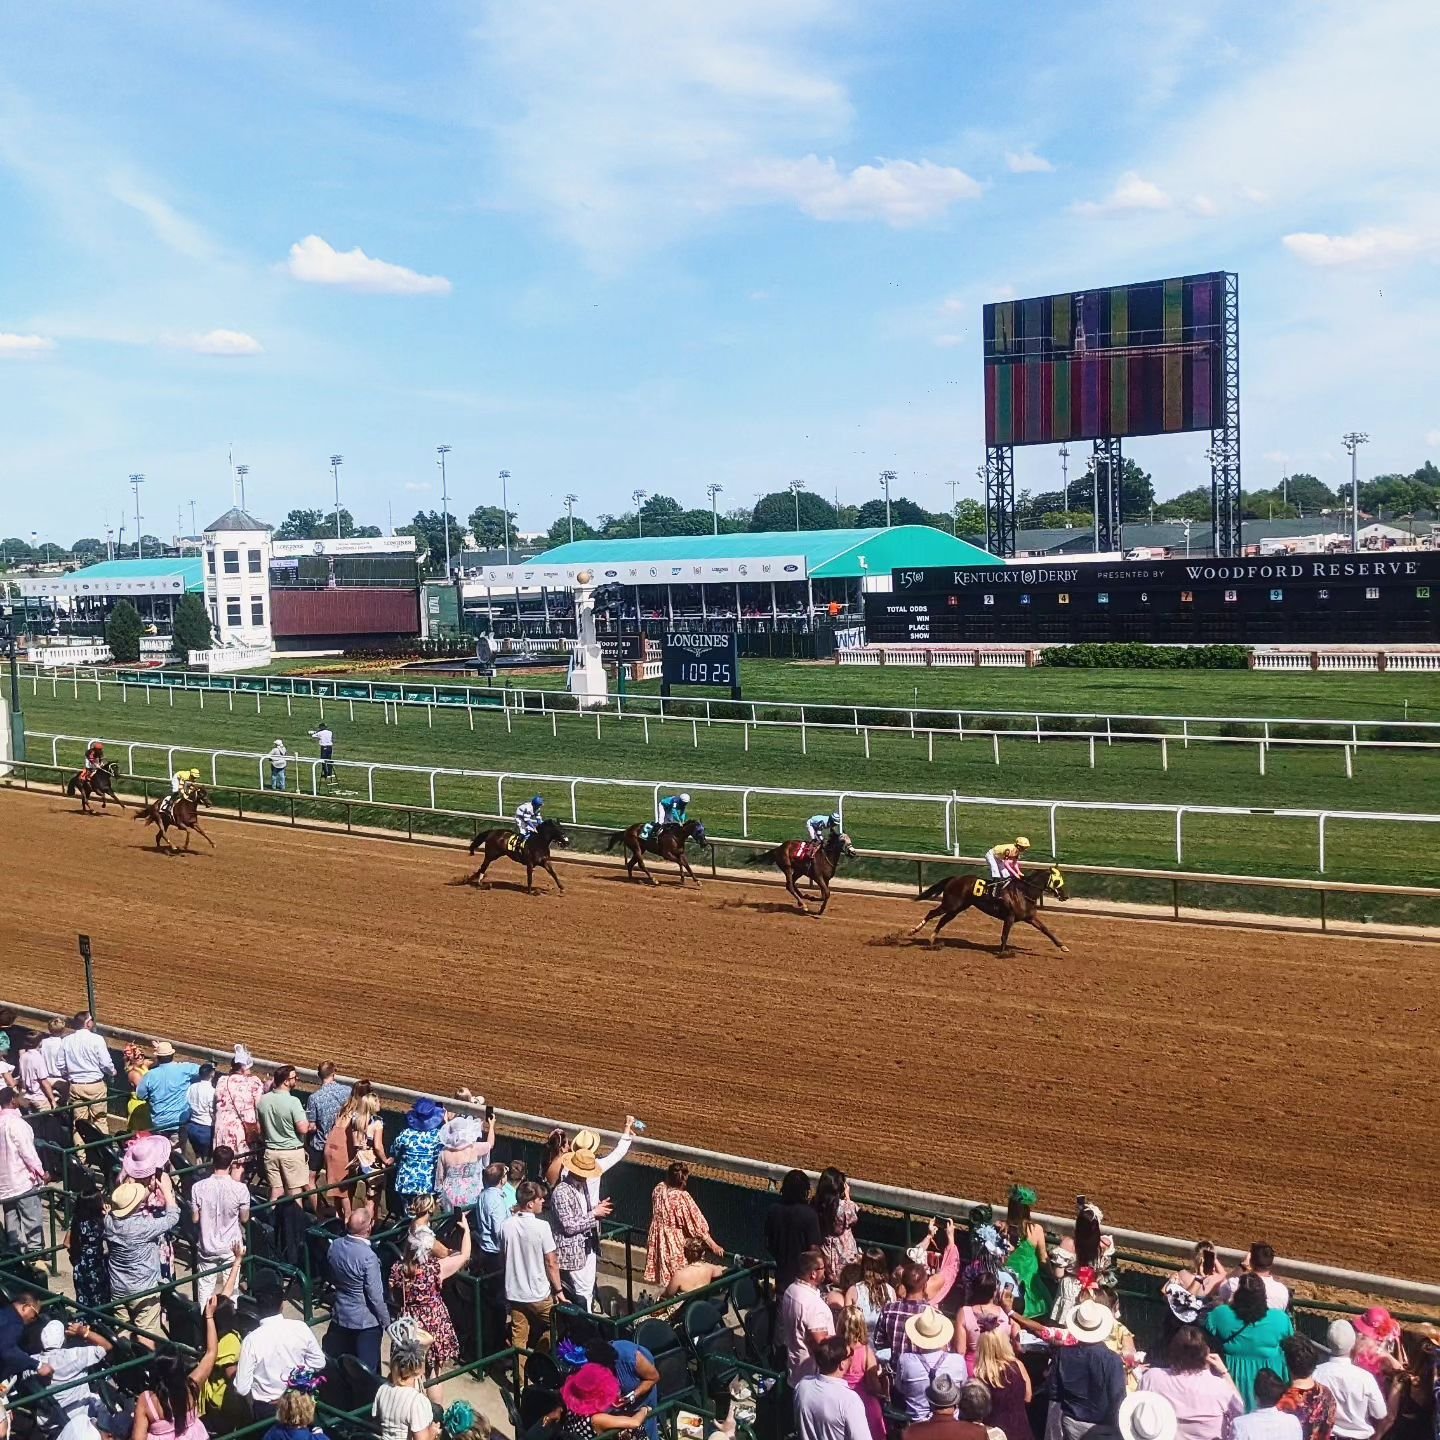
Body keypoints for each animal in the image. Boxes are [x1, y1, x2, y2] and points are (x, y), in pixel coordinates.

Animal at [910, 864, 1071, 956]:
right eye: (1057, 880)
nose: (1065, 895)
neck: (1024, 891)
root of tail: (955, 878)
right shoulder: (1010, 917)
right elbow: (1004, 935)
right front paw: (1003, 952)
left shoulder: (1030, 917)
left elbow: (1046, 930)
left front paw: (1063, 947)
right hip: (951, 904)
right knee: (932, 913)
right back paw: (913, 931)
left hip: (957, 908)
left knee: (943, 920)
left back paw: (933, 940)